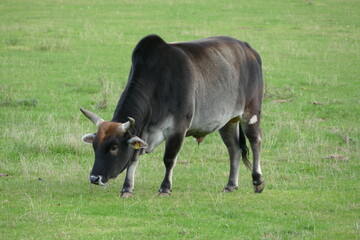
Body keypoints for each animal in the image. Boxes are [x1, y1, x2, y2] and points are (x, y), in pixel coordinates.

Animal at [83, 35, 266, 197]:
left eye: (114, 147)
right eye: (95, 146)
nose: (94, 178)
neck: (158, 82)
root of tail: (247, 48)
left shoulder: (178, 129)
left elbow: (169, 159)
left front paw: (165, 188)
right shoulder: (141, 131)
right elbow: (133, 160)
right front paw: (127, 188)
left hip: (250, 114)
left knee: (255, 141)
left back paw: (258, 181)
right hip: (228, 122)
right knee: (234, 149)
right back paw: (230, 185)